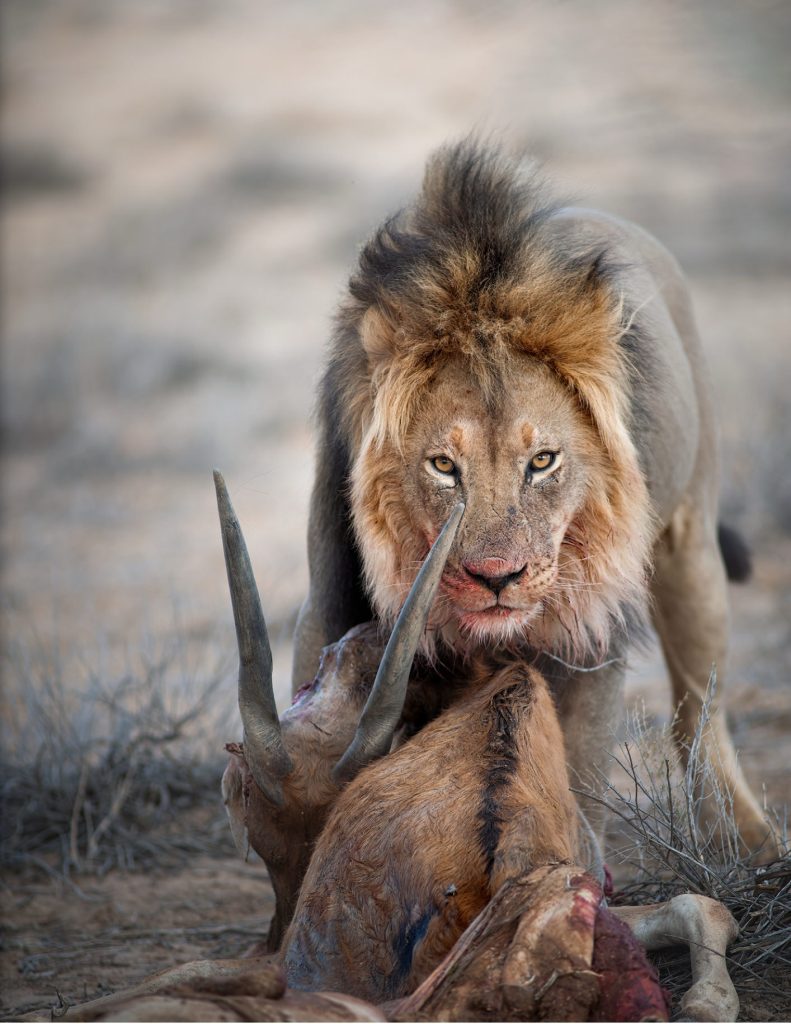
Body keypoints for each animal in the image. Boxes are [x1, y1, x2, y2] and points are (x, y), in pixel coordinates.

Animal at [292, 140, 776, 858]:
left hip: (690, 540)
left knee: (700, 710)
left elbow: (574, 774)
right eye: (443, 466)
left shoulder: (592, 638)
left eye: (542, 461)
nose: (497, 578)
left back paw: (743, 839)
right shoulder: (329, 604)